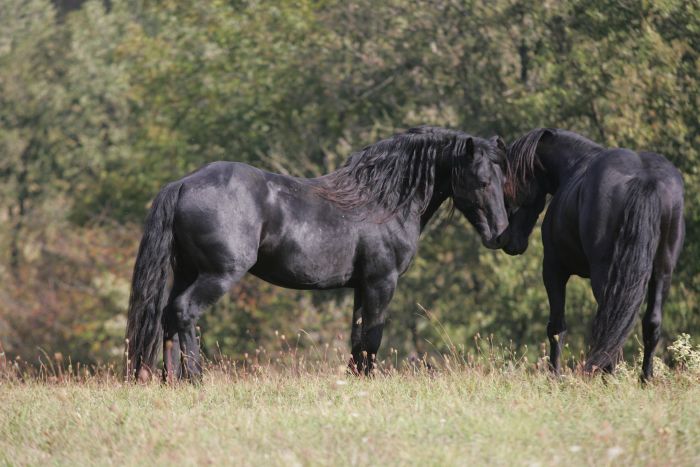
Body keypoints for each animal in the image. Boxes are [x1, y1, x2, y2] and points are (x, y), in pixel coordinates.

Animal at [126, 126, 508, 382]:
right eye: (482, 181)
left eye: (503, 179)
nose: (500, 234)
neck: (381, 200)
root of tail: (183, 184)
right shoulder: (381, 282)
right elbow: (372, 337)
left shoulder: (362, 286)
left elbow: (358, 337)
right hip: (217, 275)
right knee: (184, 312)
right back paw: (195, 379)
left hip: (187, 272)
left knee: (168, 317)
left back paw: (171, 381)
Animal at [500, 128, 688, 380]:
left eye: (507, 186)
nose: (508, 241)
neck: (574, 164)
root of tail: (645, 180)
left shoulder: (553, 269)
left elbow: (556, 327)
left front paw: (554, 376)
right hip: (662, 272)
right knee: (649, 323)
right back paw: (644, 379)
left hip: (605, 275)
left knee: (609, 322)